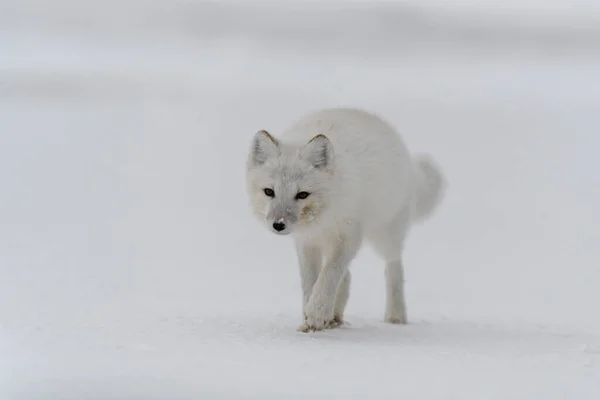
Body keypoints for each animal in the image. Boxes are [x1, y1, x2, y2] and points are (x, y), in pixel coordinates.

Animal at [244, 106, 446, 332]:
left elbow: (330, 275)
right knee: (348, 276)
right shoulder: (307, 242)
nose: (278, 225)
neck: (323, 216)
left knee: (393, 267)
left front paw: (316, 313)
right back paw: (335, 317)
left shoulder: (349, 236)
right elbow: (311, 280)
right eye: (269, 192)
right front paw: (309, 321)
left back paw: (396, 317)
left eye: (302, 194)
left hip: (386, 234)